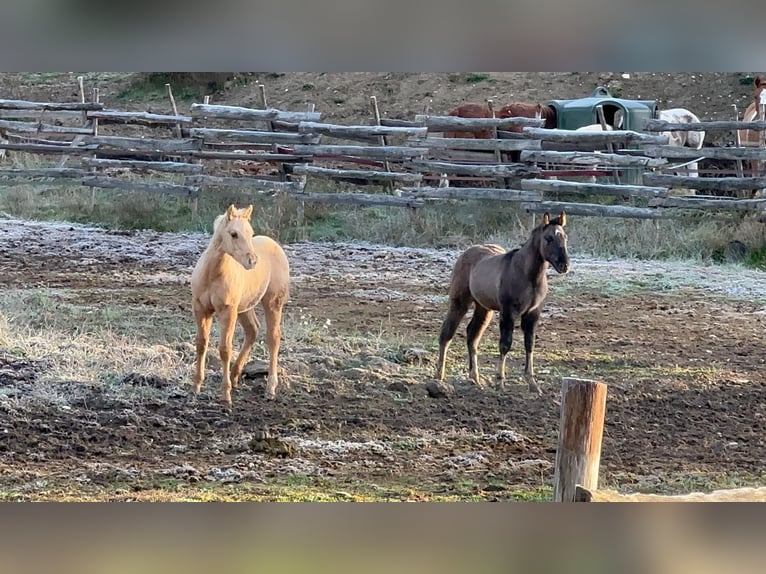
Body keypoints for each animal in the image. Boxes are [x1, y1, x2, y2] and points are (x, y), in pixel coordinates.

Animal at [190, 205, 290, 405]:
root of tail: (274, 244)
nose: (252, 261)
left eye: (250, 232)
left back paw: (270, 388)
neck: (212, 274)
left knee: (273, 338)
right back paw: (235, 375)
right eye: (233, 234)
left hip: (273, 302)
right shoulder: (201, 309)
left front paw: (226, 394)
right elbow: (201, 344)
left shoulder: (227, 312)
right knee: (252, 330)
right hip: (245, 307)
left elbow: (224, 349)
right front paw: (196, 387)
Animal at [434, 212, 570, 394]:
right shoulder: (508, 312)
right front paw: (500, 382)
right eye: (548, 238)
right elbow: (505, 344)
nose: (564, 265)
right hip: (459, 302)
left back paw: (476, 379)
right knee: (447, 333)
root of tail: (467, 252)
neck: (528, 276)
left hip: (484, 309)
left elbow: (529, 344)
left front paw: (533, 384)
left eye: (565, 237)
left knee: (472, 336)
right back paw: (439, 377)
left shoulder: (533, 314)